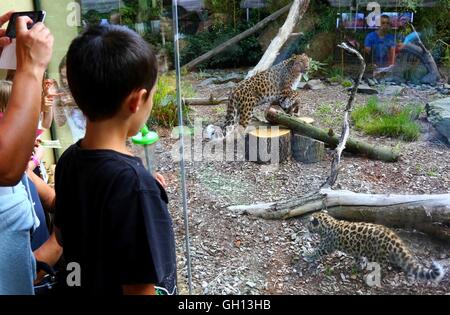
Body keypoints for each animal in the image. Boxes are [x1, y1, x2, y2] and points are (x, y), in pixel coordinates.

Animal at [304, 212, 444, 284]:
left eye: (309, 223)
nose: (306, 227)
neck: (328, 223)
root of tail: (392, 236)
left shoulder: (326, 246)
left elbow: (316, 252)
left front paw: (306, 255)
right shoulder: (357, 249)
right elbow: (359, 257)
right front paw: (359, 265)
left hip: (377, 256)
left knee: (383, 268)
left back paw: (370, 278)